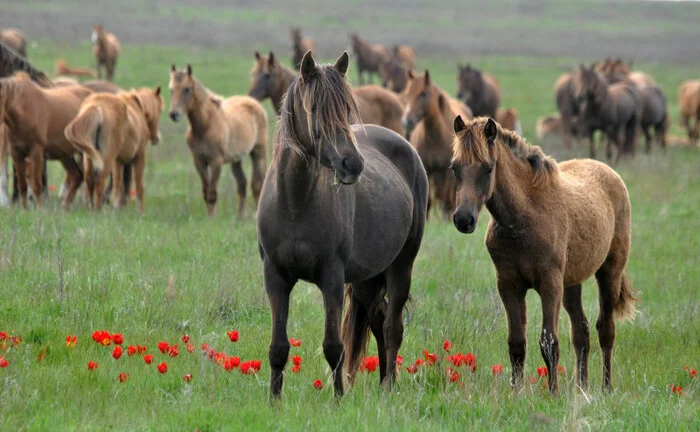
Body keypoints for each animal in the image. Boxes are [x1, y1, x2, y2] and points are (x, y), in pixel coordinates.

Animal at [0, 73, 92, 208]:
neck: (25, 109)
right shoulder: (16, 152)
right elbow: (22, 185)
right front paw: (25, 209)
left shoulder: (36, 151)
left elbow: (37, 184)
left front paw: (40, 209)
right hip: (65, 154)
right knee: (76, 176)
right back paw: (65, 207)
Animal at [168, 64, 266, 218]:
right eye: (171, 89)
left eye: (187, 89)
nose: (174, 114)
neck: (205, 125)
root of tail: (253, 102)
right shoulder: (199, 161)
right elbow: (206, 191)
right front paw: (208, 217)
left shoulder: (216, 162)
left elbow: (212, 192)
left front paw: (212, 218)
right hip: (236, 159)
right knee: (242, 185)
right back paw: (240, 217)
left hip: (258, 152)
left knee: (257, 184)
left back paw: (256, 215)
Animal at [254, 52, 424, 400]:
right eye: (314, 109)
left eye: (346, 109)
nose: (353, 164)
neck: (295, 202)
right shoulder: (275, 277)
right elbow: (278, 347)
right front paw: (274, 401)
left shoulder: (331, 278)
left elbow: (334, 346)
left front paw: (338, 400)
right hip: (366, 278)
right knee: (378, 321)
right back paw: (384, 382)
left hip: (401, 266)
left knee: (392, 328)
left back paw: (389, 387)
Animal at [402, 71, 474, 219]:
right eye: (407, 93)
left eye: (423, 94)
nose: (407, 121)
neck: (434, 139)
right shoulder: (427, 170)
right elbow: (429, 201)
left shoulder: (448, 173)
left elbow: (446, 199)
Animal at [452, 115, 636, 394]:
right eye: (454, 167)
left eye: (488, 167)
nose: (463, 219)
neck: (524, 218)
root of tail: (609, 172)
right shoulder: (509, 285)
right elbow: (517, 343)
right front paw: (516, 393)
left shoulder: (550, 285)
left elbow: (549, 343)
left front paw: (553, 393)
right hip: (572, 283)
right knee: (581, 332)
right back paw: (581, 388)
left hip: (609, 273)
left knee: (606, 329)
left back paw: (605, 388)